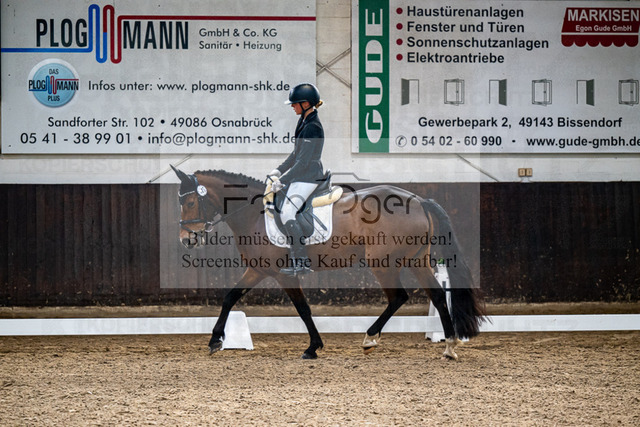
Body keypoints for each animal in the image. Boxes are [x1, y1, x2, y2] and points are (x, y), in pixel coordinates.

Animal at [171, 166, 486, 360]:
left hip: (383, 262)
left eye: (189, 203)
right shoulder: (258, 269)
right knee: (437, 294)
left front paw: (313, 347)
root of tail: (419, 200)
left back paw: (370, 338)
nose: (186, 239)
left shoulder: (283, 274)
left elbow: (303, 309)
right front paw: (215, 340)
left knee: (398, 297)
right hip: (415, 259)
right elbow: (230, 297)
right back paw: (449, 346)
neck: (254, 214)